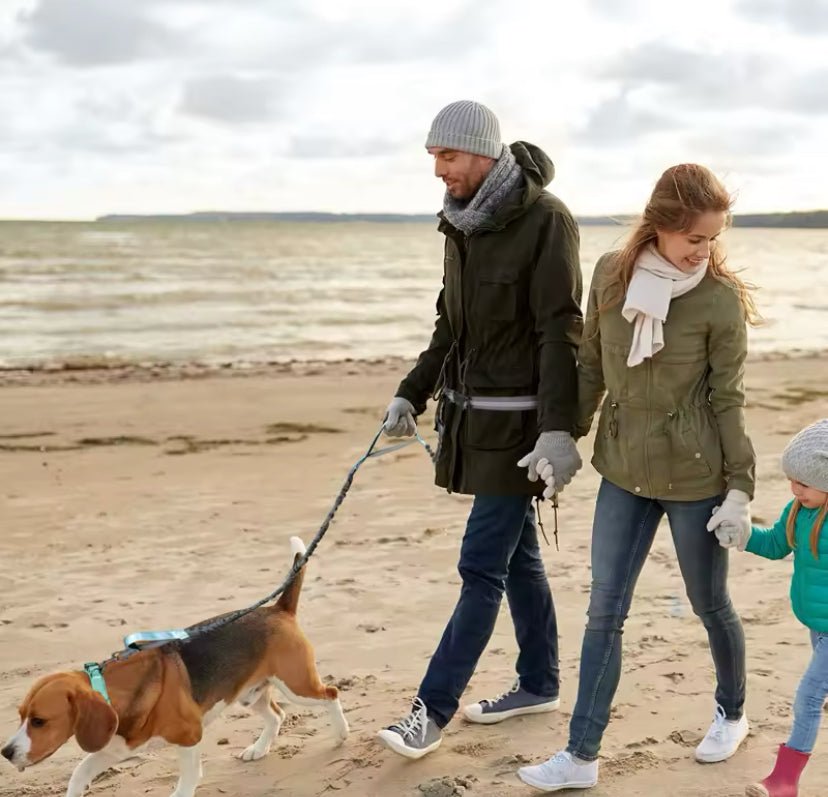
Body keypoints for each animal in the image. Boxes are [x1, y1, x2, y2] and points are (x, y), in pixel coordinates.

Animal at [1, 536, 348, 792]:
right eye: (20, 716)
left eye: (39, 721)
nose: (5, 753)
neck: (113, 693)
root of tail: (278, 608)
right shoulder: (114, 748)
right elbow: (79, 774)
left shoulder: (189, 734)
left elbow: (189, 778)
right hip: (249, 693)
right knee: (277, 715)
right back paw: (258, 749)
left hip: (297, 685)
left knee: (330, 694)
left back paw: (342, 733)